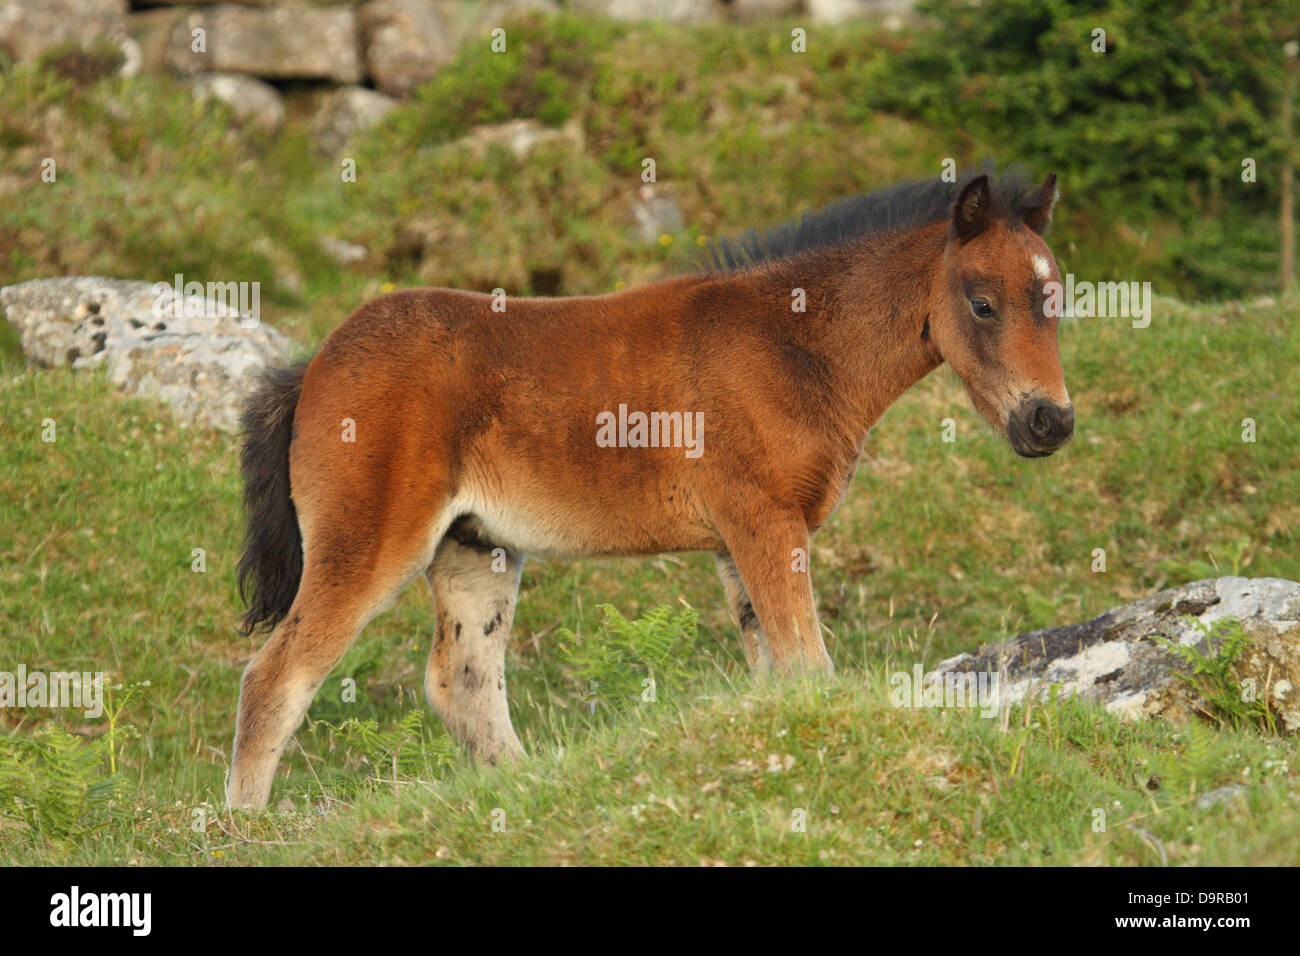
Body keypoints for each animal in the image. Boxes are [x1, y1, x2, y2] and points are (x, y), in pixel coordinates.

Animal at [227, 168, 1074, 809]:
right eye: (982, 303)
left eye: (1057, 302)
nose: (1050, 421)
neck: (793, 344)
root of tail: (312, 371)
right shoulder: (766, 521)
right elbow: (809, 664)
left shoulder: (740, 540)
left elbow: (776, 671)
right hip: (369, 541)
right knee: (278, 678)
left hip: (475, 549)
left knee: (463, 682)